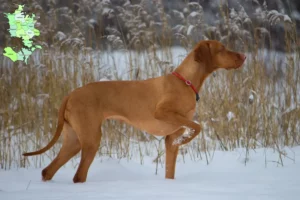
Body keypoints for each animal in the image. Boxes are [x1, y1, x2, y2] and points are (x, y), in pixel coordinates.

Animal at [22, 40, 246, 183]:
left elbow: (170, 169)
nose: (244, 55)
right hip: (91, 139)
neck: (186, 82)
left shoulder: (169, 139)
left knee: (48, 171)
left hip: (74, 141)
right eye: (222, 49)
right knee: (78, 176)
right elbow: (197, 126)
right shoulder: (162, 112)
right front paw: (187, 138)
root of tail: (70, 94)